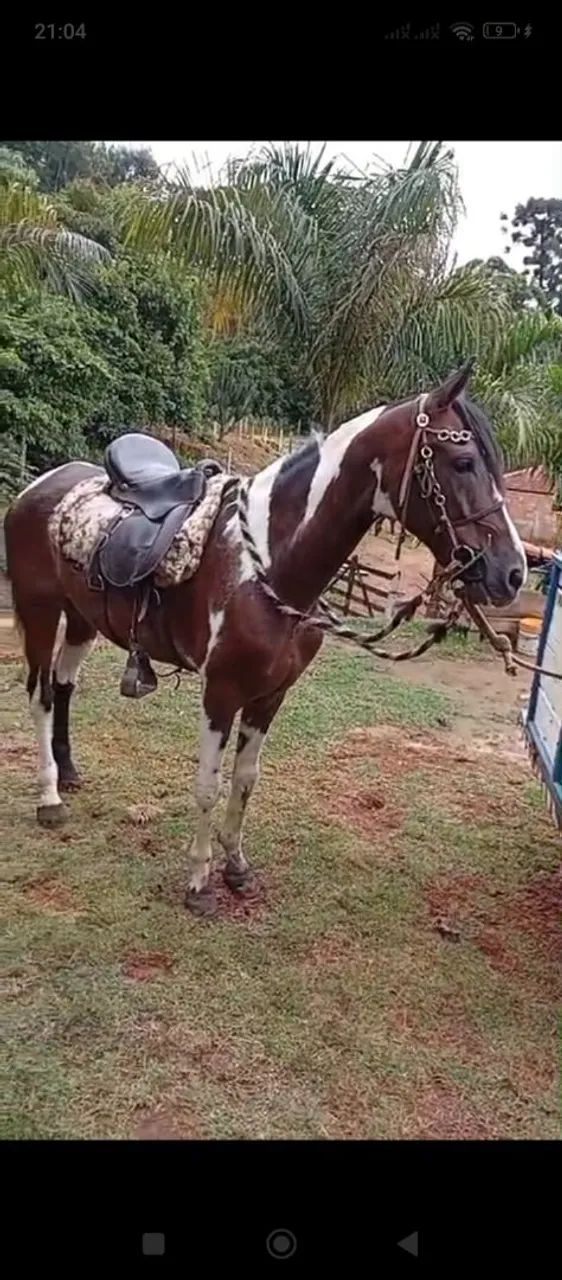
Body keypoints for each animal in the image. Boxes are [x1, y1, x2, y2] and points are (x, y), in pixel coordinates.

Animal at [4, 362, 527, 917]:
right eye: (464, 462)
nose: (513, 572)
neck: (270, 564)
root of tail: (39, 486)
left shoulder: (271, 694)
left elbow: (245, 780)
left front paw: (236, 867)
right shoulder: (221, 692)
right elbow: (208, 786)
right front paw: (198, 883)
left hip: (83, 617)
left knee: (64, 685)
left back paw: (68, 771)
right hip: (41, 611)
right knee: (40, 694)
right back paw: (50, 798)